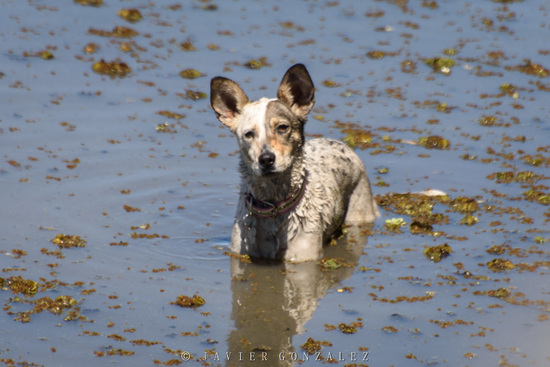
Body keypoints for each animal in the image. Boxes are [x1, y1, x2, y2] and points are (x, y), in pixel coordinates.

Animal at [210, 64, 380, 264]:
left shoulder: (304, 259)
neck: (273, 206)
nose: (266, 159)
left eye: (283, 127)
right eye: (249, 134)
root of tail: (342, 144)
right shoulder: (239, 253)